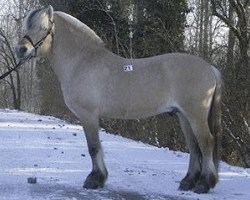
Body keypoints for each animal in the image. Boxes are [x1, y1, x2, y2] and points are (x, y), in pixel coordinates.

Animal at [15, 6, 222, 194]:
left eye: (44, 28)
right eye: (27, 26)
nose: (20, 49)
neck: (82, 61)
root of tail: (211, 69)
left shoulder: (88, 115)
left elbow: (93, 147)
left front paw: (95, 180)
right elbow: (97, 146)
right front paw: (99, 178)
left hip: (195, 116)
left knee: (206, 143)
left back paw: (204, 184)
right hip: (183, 116)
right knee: (194, 147)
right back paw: (188, 182)